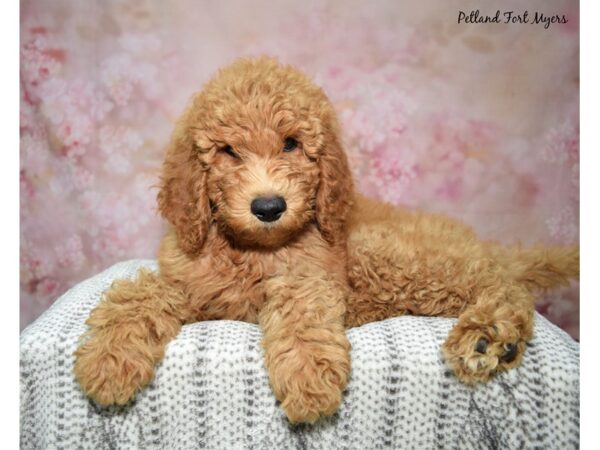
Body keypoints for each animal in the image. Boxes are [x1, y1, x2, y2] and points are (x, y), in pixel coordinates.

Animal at [72, 57, 580, 426]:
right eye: (229, 152)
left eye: (291, 144)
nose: (268, 206)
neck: (256, 250)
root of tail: (484, 246)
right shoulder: (191, 282)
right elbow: (139, 294)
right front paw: (109, 359)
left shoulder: (312, 275)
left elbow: (301, 307)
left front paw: (307, 375)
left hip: (386, 253)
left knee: (500, 285)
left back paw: (490, 335)